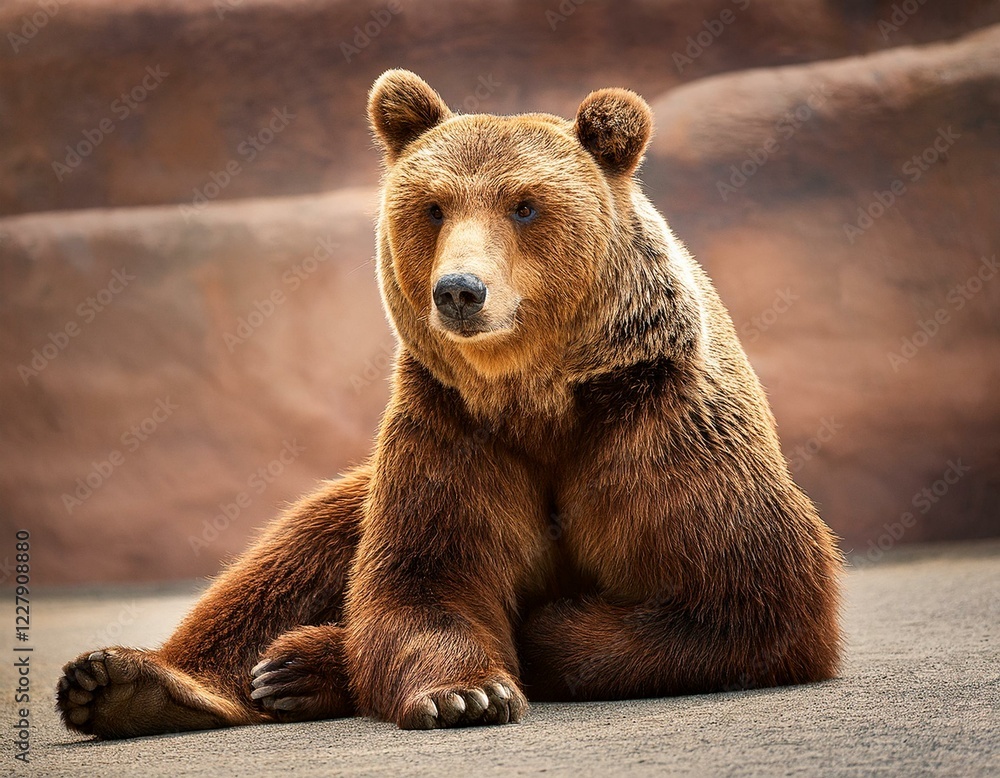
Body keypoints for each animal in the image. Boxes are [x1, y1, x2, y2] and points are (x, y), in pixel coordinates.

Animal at [56, 69, 842, 738]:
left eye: (525, 205)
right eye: (433, 207)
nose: (460, 289)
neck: (537, 396)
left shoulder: (655, 419)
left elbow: (739, 595)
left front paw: (541, 631)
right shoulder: (452, 425)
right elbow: (424, 579)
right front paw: (468, 692)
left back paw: (291, 668)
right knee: (290, 556)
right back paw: (132, 684)